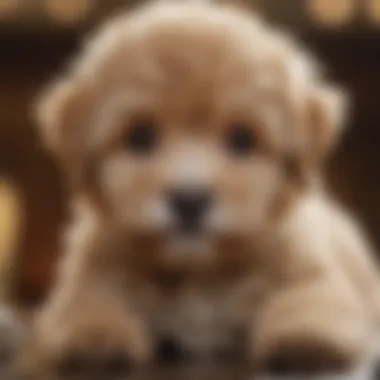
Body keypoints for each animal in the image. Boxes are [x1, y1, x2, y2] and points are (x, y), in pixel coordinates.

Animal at [21, 0, 380, 378]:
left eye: (242, 139)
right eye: (140, 137)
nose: (189, 200)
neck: (198, 273)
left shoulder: (310, 274)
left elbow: (309, 299)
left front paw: (306, 338)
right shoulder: (93, 274)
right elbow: (89, 302)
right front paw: (94, 337)